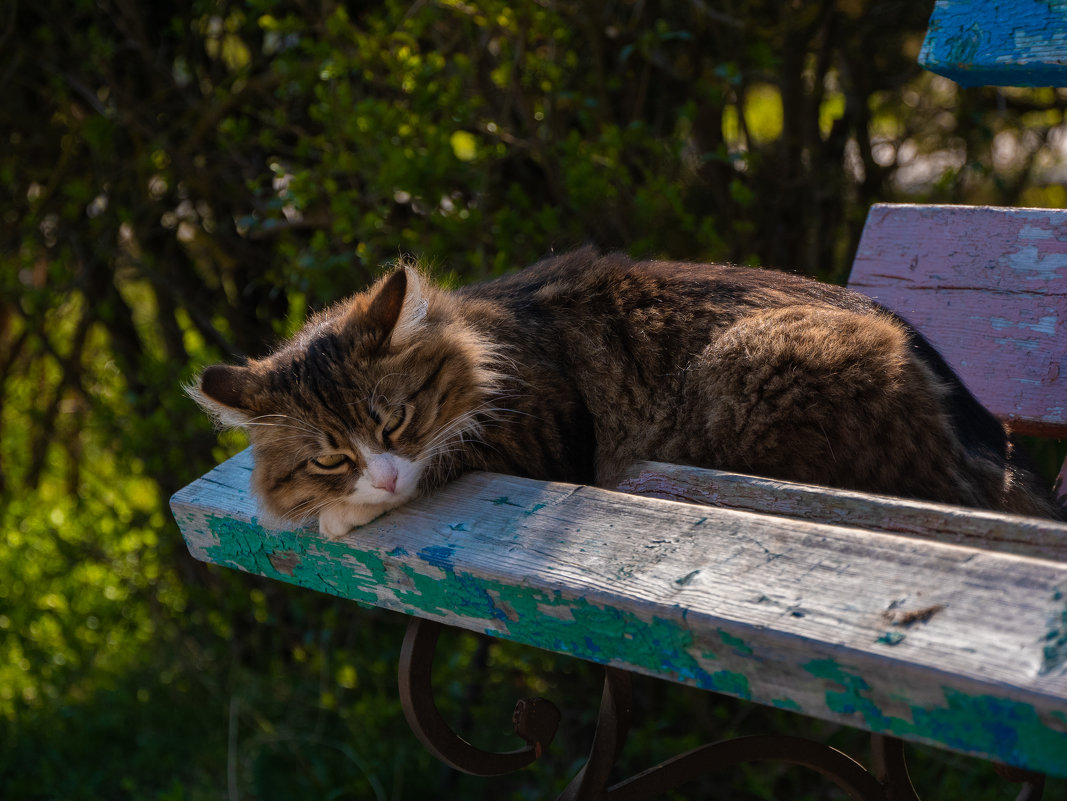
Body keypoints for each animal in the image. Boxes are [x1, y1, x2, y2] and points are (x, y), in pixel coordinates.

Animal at [192, 246, 1058, 539]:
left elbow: (449, 452)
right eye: (329, 457)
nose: (376, 475)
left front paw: (344, 514)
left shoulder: (537, 432)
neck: (484, 340)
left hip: (752, 360)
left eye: (397, 419)